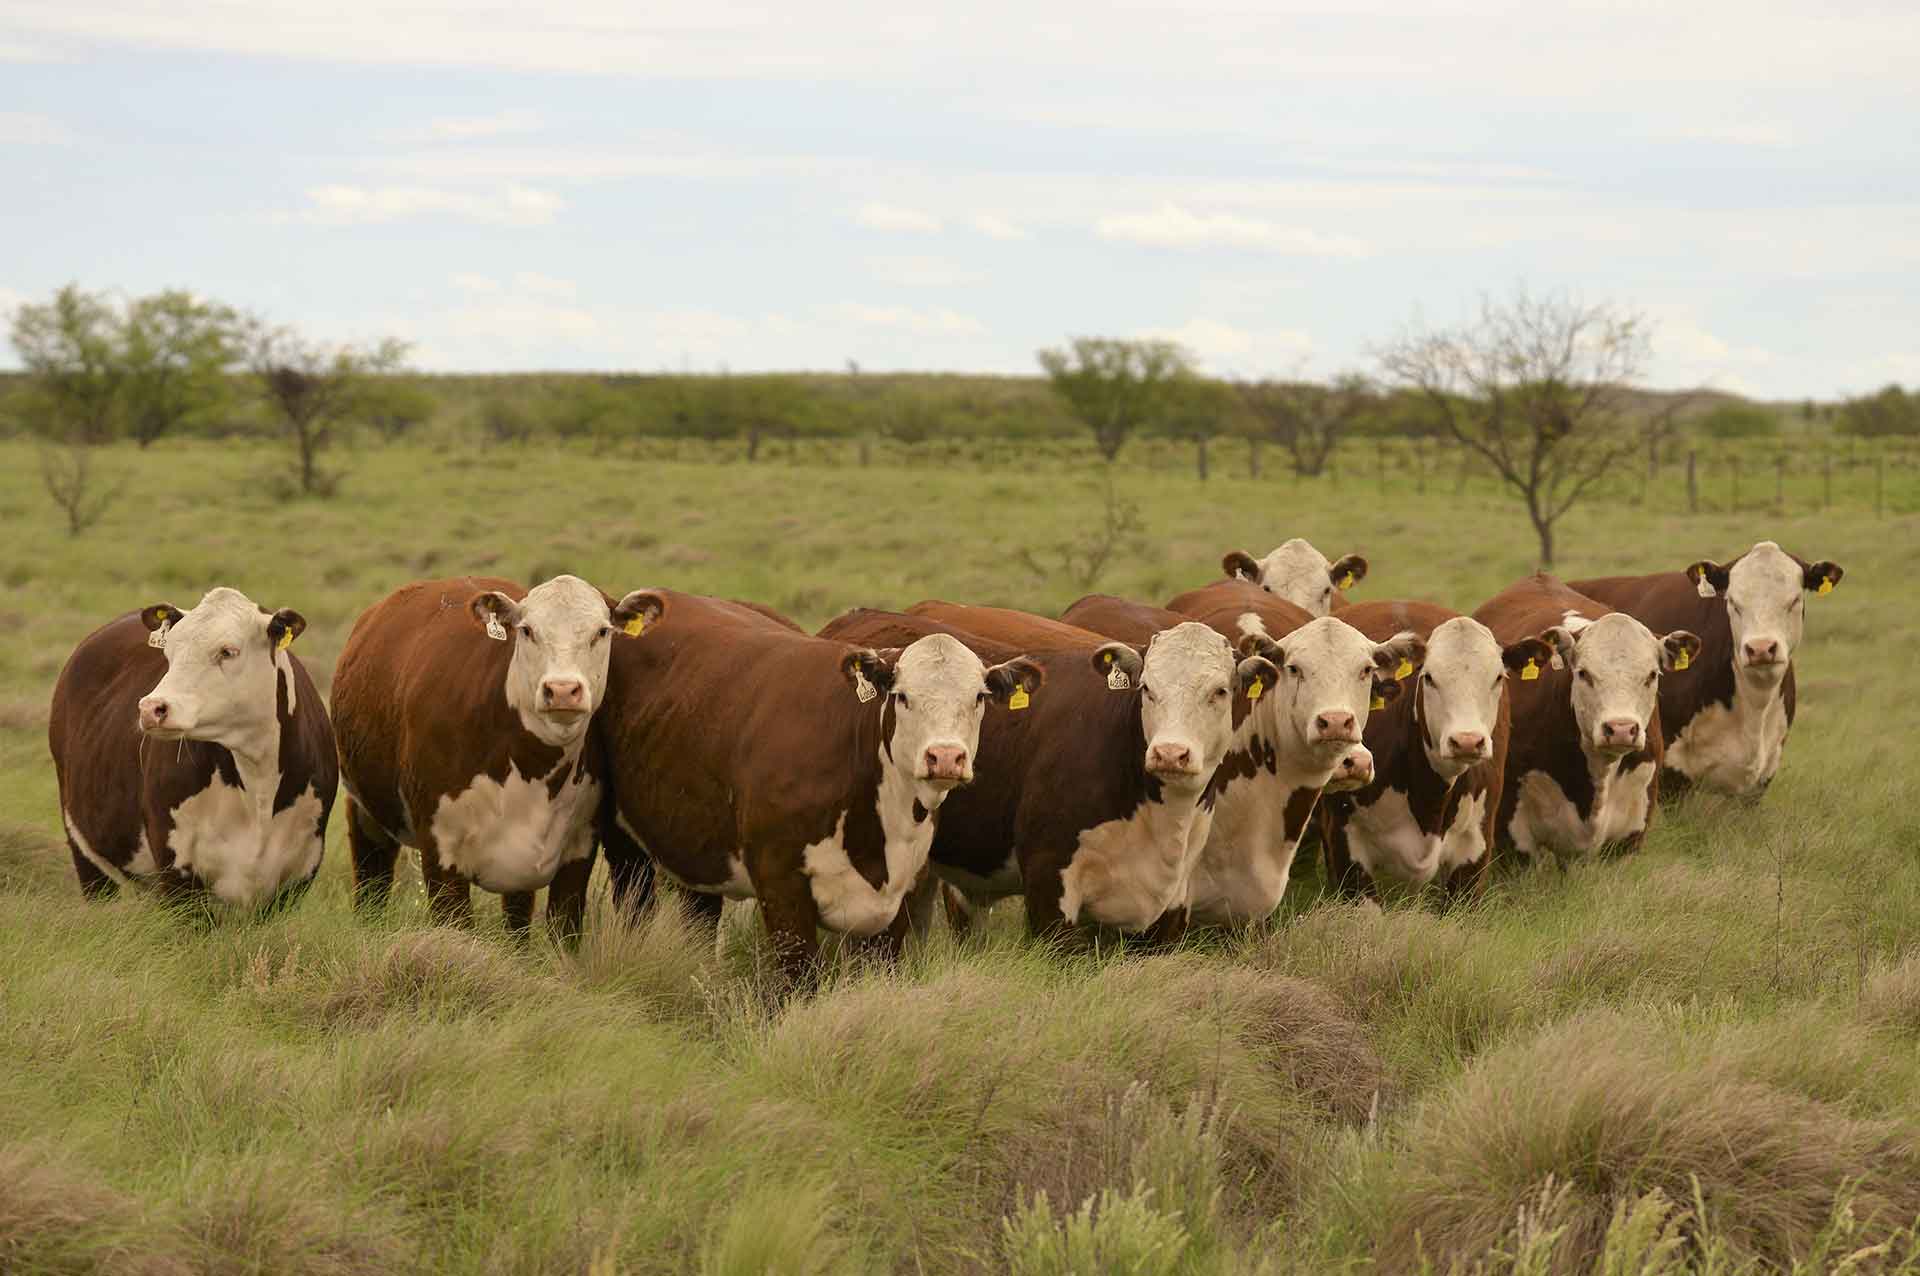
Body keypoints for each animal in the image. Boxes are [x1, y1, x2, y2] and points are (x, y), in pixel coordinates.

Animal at [48, 587, 338, 909]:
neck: (258, 786)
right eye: (169, 653)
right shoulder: (177, 870)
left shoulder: (299, 872)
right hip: (86, 852)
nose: (151, 708)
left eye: (228, 651)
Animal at [330, 574, 658, 940]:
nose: (562, 690)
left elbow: (563, 931)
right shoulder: (441, 851)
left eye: (601, 631)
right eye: (527, 630)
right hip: (364, 809)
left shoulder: (579, 849)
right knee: (372, 875)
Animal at [596, 590, 1042, 986]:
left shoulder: (899, 899)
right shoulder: (782, 888)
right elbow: (799, 982)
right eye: (902, 696)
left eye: (979, 697)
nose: (946, 757)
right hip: (624, 846)